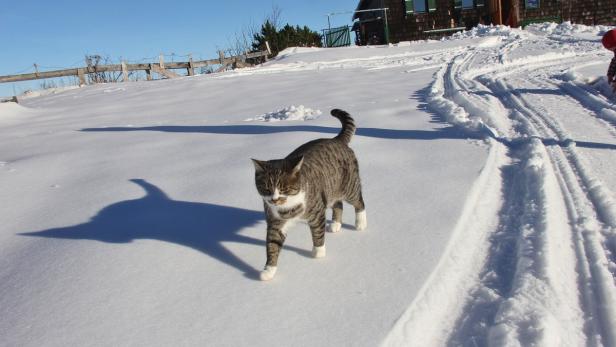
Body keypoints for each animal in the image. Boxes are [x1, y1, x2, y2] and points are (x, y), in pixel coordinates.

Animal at [251, 110, 366, 282]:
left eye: (284, 188)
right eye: (266, 188)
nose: (274, 199)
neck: (289, 207)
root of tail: (336, 139)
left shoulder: (316, 211)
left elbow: (318, 233)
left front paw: (318, 253)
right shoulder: (275, 221)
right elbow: (272, 245)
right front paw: (268, 270)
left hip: (349, 186)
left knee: (359, 202)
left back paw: (360, 223)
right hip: (330, 188)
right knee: (338, 204)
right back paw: (336, 224)